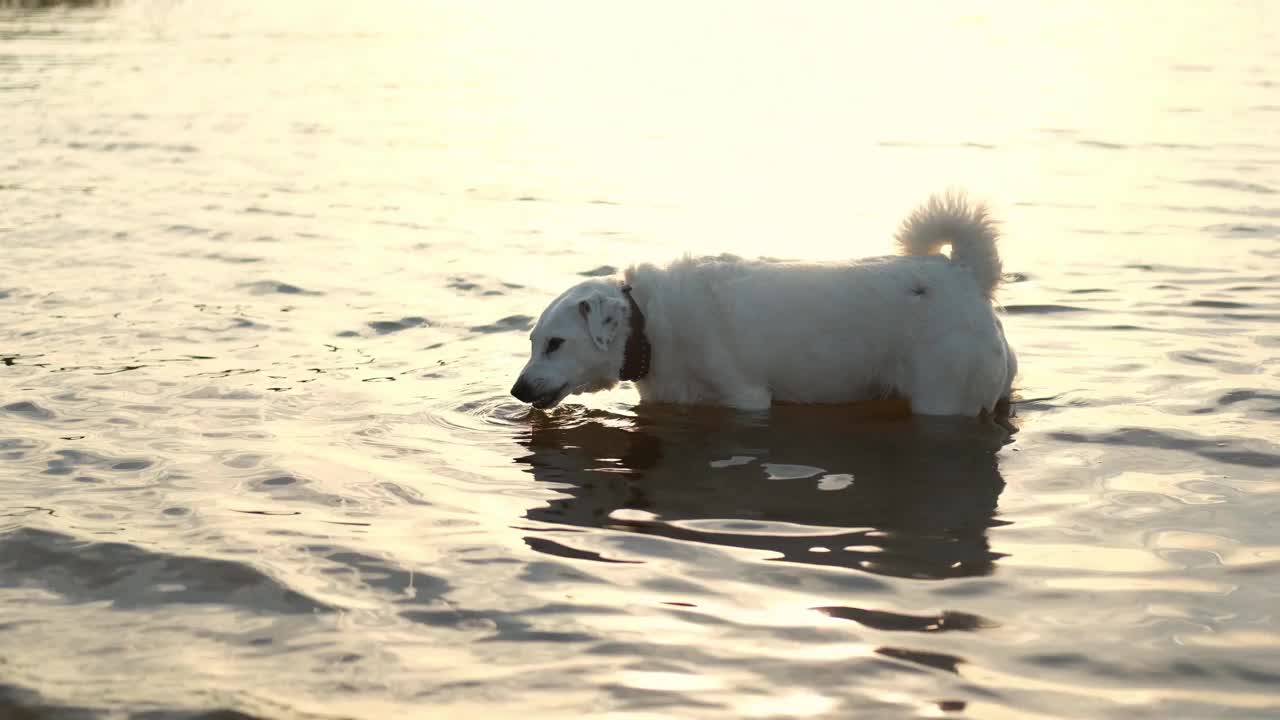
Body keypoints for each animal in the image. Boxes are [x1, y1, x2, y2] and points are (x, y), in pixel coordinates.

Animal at [509, 192, 1018, 415]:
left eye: (555, 343)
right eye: (532, 342)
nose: (516, 391)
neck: (648, 325)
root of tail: (966, 274)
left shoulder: (746, 398)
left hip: (943, 399)